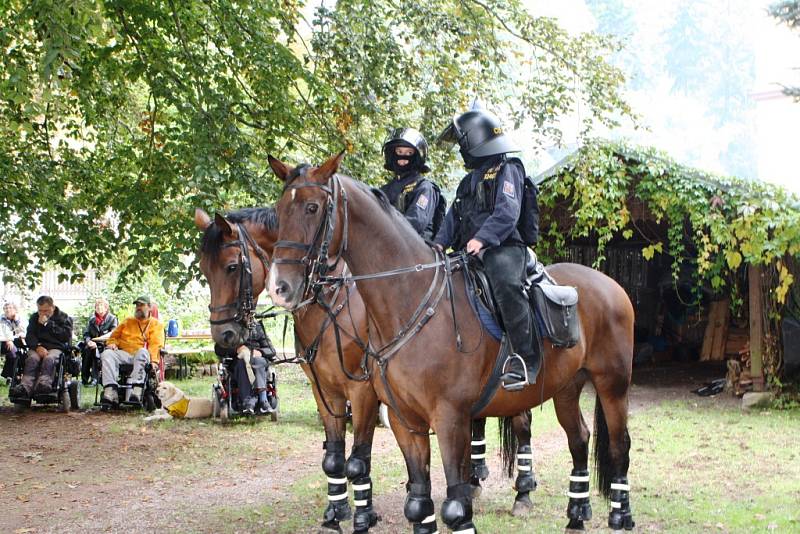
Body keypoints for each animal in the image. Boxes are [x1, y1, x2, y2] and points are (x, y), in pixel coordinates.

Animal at [268, 153, 636, 532]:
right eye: (278, 211)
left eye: (312, 207)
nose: (279, 287)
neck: (411, 301)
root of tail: (610, 284)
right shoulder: (400, 420)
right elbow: (418, 500)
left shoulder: (444, 417)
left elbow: (453, 504)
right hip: (565, 388)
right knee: (579, 439)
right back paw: (576, 514)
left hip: (612, 384)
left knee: (619, 444)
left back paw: (619, 514)